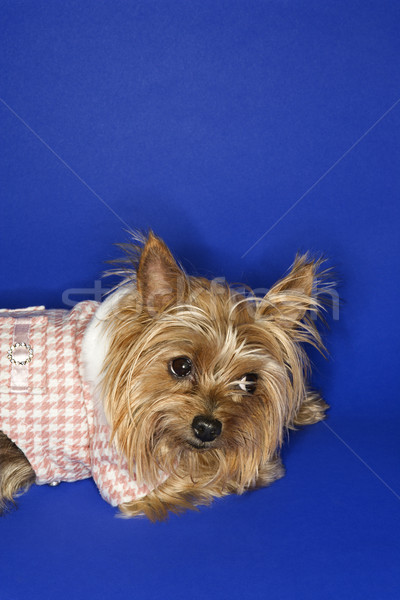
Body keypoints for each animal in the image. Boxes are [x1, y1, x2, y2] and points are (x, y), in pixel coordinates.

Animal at [0, 232, 332, 516]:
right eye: (181, 366)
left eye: (249, 382)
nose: (207, 428)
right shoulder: (124, 471)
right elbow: (203, 474)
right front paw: (259, 469)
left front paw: (302, 408)